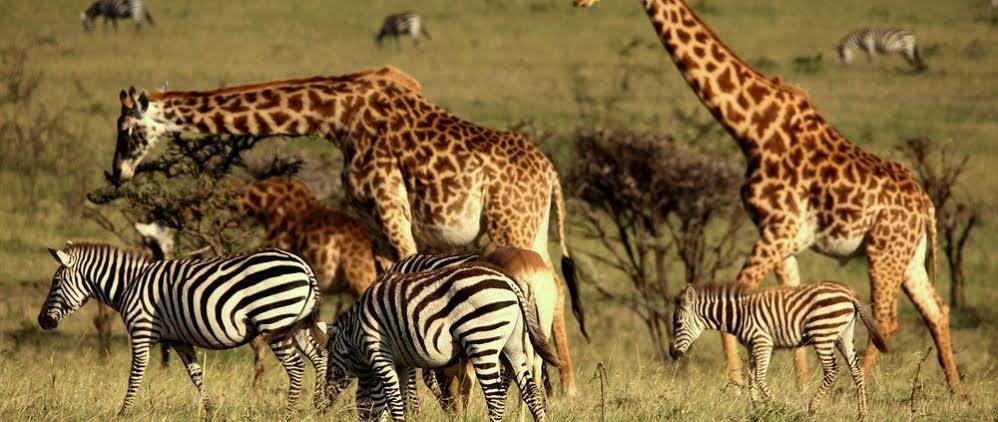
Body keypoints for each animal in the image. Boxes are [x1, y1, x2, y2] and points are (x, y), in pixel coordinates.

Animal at [38, 242, 328, 414]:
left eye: (55, 282)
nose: (42, 321)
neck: (128, 285)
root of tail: (302, 265)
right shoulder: (179, 340)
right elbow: (196, 374)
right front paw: (211, 411)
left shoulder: (141, 331)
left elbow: (135, 374)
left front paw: (123, 412)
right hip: (297, 324)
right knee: (320, 357)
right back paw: (320, 406)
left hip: (276, 320)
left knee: (297, 366)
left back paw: (289, 413)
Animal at [107, 67, 592, 356]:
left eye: (127, 130)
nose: (117, 172)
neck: (339, 116)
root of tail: (551, 173)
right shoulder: (370, 217)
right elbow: (384, 283)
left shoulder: (390, 205)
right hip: (532, 225)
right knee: (553, 283)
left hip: (511, 223)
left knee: (543, 283)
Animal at [328, 262, 564, 420]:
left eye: (329, 364)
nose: (322, 406)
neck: (354, 333)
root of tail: (509, 282)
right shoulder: (400, 361)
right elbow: (399, 397)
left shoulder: (379, 352)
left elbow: (392, 399)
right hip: (513, 345)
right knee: (530, 390)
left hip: (482, 339)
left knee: (496, 397)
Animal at [580, 0, 968, 396]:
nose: (580, 3)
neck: (753, 128)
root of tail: (926, 206)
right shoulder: (783, 238)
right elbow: (788, 297)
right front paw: (798, 387)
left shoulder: (777, 229)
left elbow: (742, 292)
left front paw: (738, 382)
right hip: (909, 256)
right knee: (937, 309)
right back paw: (956, 390)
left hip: (883, 252)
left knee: (888, 318)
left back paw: (858, 387)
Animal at [672, 280, 892, 418]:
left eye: (678, 324)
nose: (673, 354)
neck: (740, 316)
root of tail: (849, 293)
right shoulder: (752, 346)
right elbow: (751, 378)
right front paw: (756, 410)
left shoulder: (762, 342)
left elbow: (759, 378)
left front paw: (773, 408)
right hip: (843, 334)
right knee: (857, 370)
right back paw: (862, 414)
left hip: (823, 333)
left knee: (832, 369)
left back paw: (812, 408)